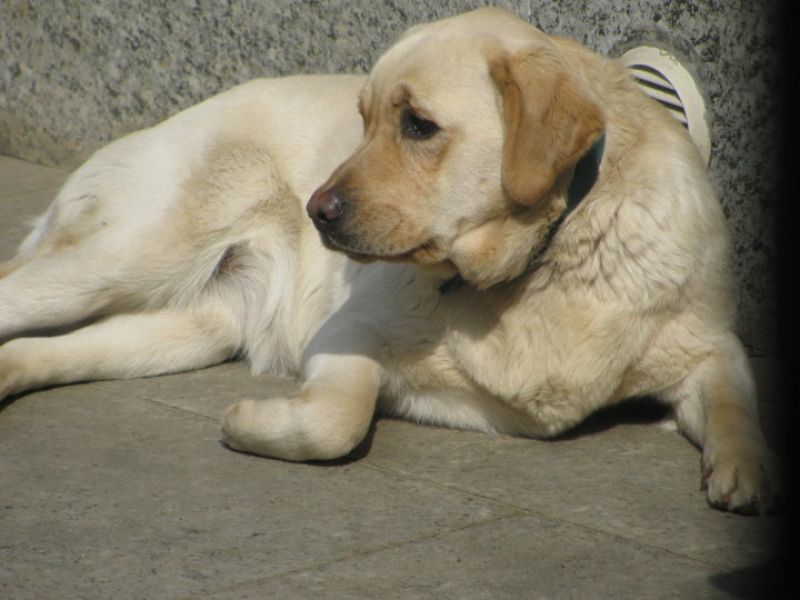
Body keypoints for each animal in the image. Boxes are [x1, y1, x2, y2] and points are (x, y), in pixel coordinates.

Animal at [0, 9, 780, 510]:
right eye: (364, 120)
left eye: (418, 126)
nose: (314, 209)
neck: (541, 260)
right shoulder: (343, 335)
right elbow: (334, 422)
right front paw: (248, 421)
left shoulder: (709, 347)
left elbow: (736, 401)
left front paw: (749, 469)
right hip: (122, 260)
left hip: (185, 328)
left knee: (47, 350)